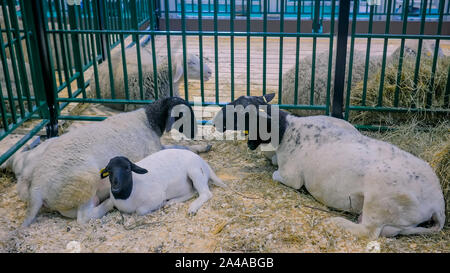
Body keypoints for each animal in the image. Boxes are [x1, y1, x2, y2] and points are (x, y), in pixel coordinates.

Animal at [6, 96, 208, 226]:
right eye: (185, 115)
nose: (196, 133)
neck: (147, 122)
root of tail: (37, 186)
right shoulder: (154, 150)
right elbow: (180, 148)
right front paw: (201, 147)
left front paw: (203, 146)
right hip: (85, 182)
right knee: (84, 217)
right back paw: (107, 204)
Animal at [90, 148, 225, 218]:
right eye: (109, 170)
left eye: (127, 168)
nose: (115, 186)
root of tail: (204, 164)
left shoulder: (155, 197)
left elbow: (140, 211)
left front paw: (159, 205)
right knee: (192, 192)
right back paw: (172, 202)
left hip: (195, 171)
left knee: (205, 193)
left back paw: (192, 208)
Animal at [214, 94, 446, 238]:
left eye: (238, 112)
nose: (215, 122)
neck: (287, 131)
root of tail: (438, 203)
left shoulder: (291, 176)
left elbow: (276, 174)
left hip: (381, 198)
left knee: (368, 231)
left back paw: (336, 223)